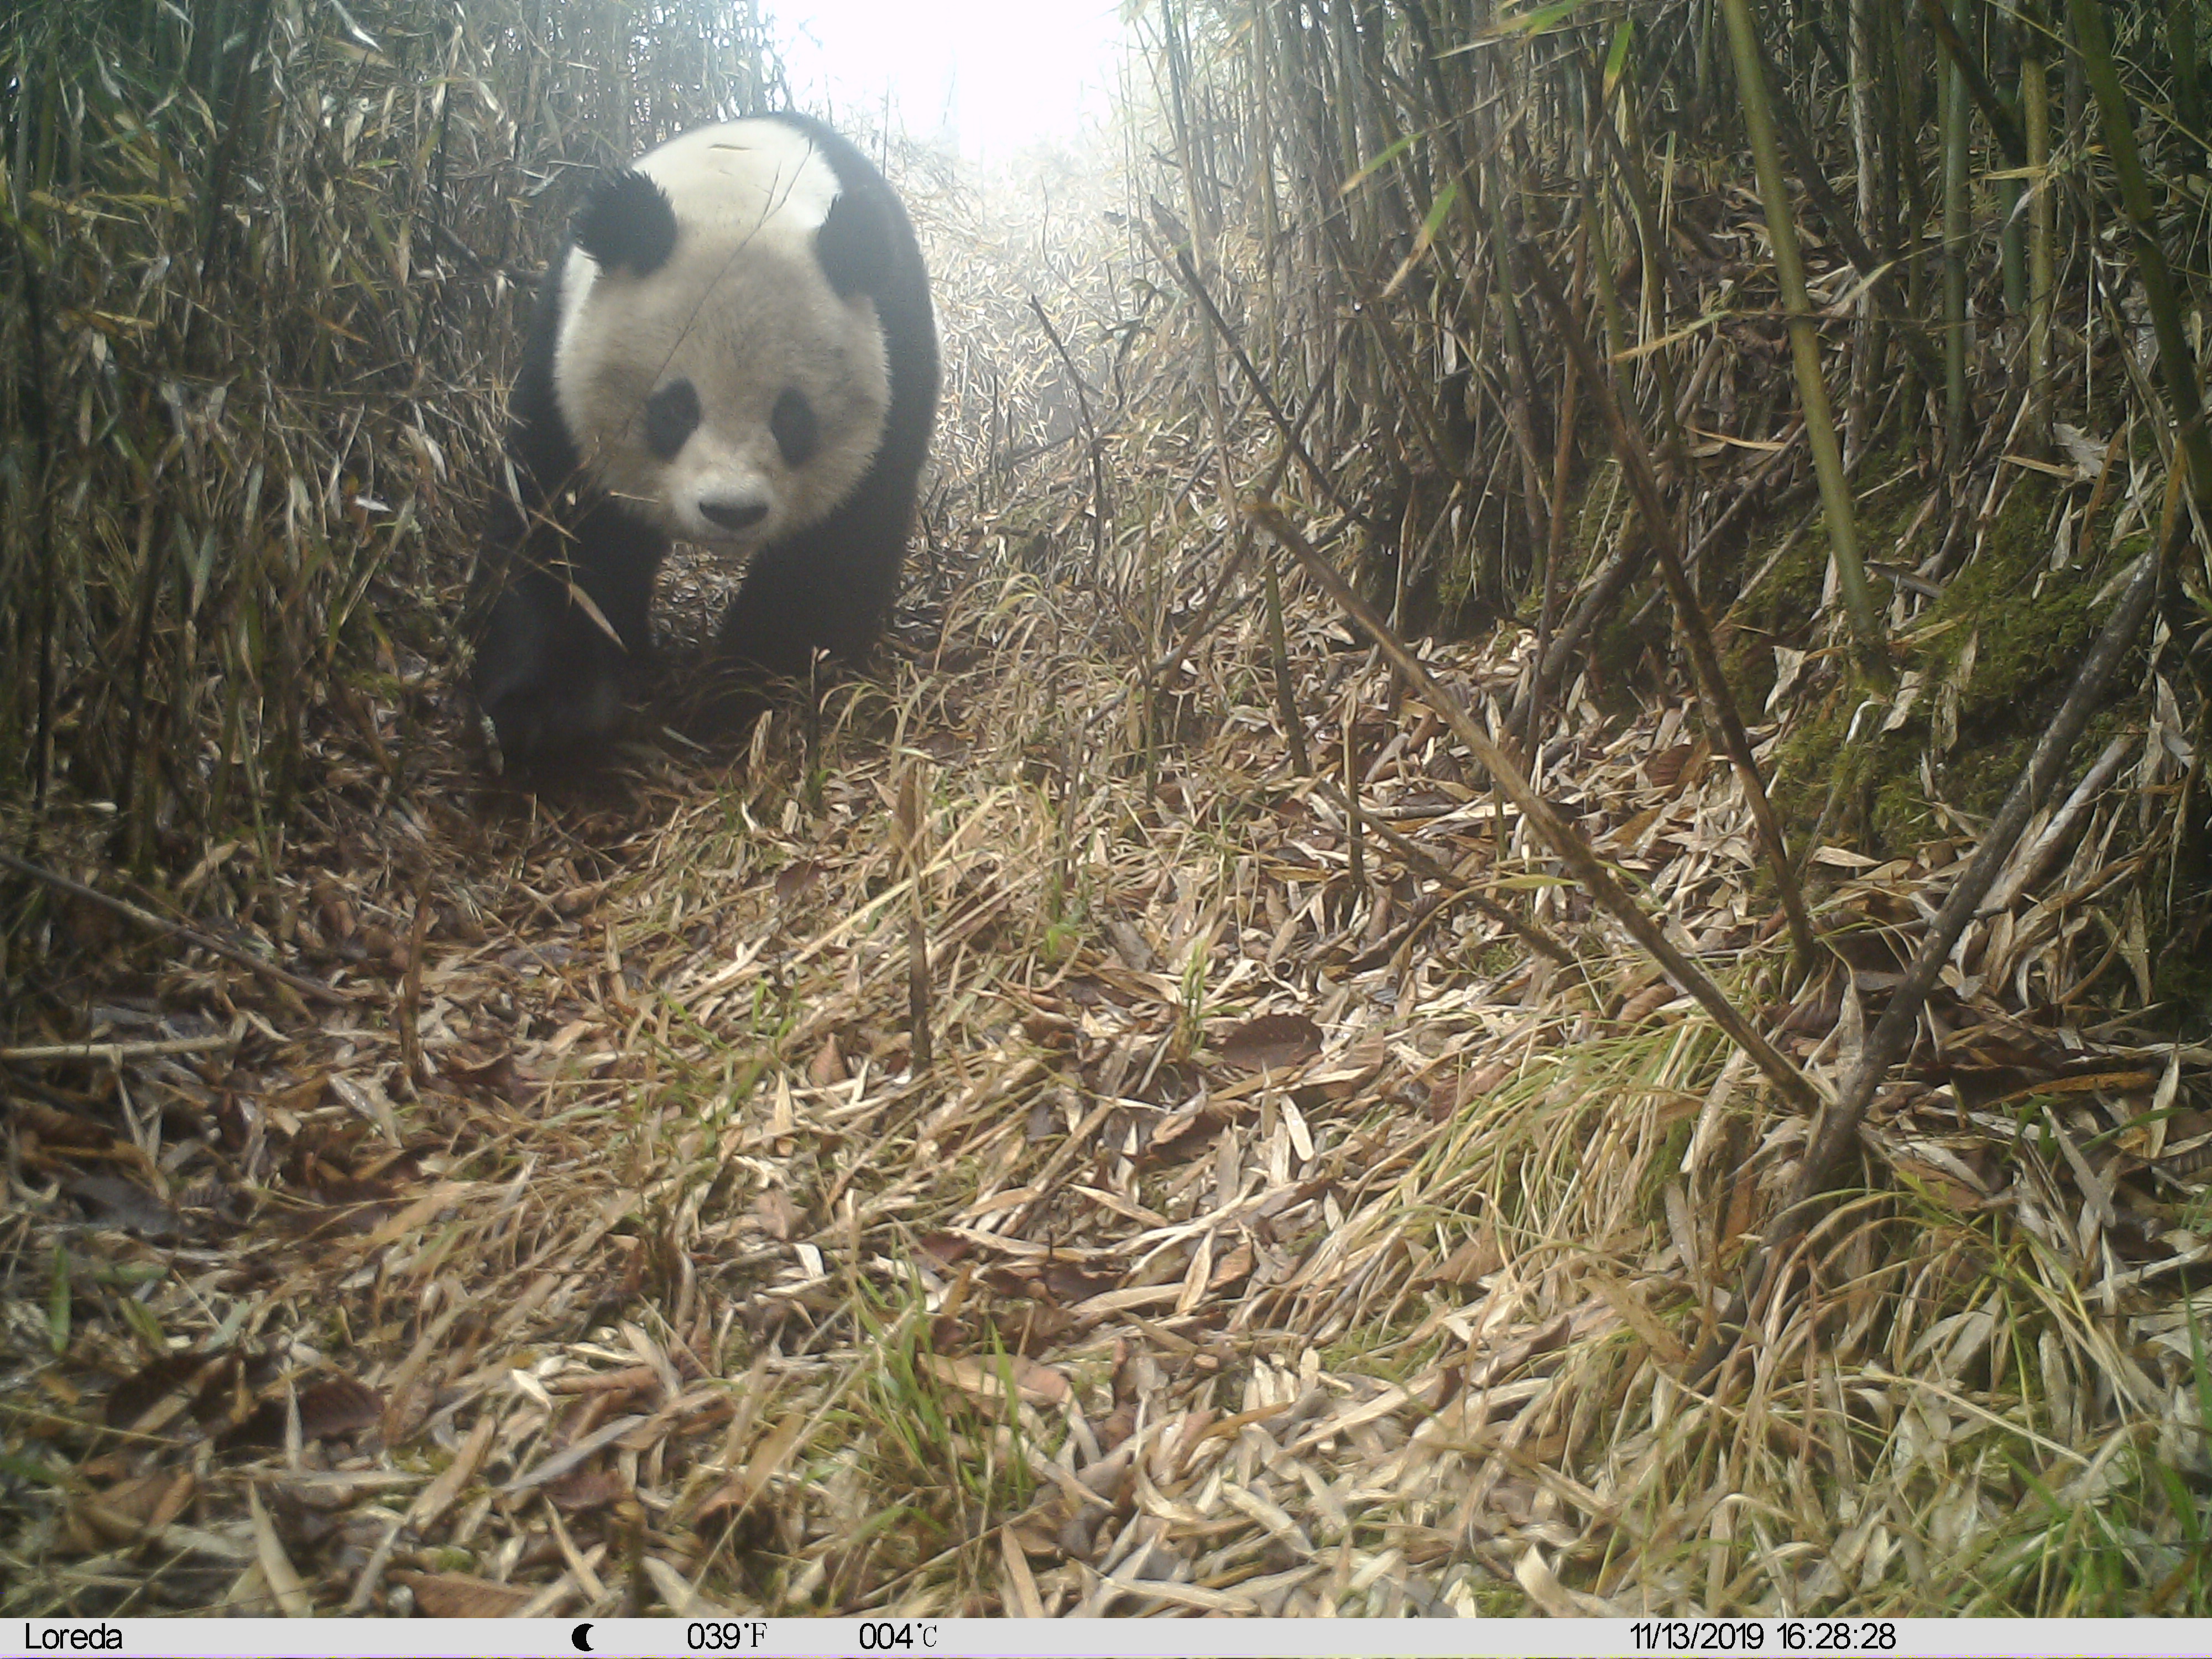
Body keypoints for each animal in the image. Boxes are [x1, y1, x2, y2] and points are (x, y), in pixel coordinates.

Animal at [476, 114, 933, 770]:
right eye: (674, 409)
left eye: (792, 419)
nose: (731, 512)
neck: (739, 185)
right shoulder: (559, 363)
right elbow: (556, 529)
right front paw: (547, 720)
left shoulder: (896, 359)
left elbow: (831, 555)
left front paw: (734, 695)